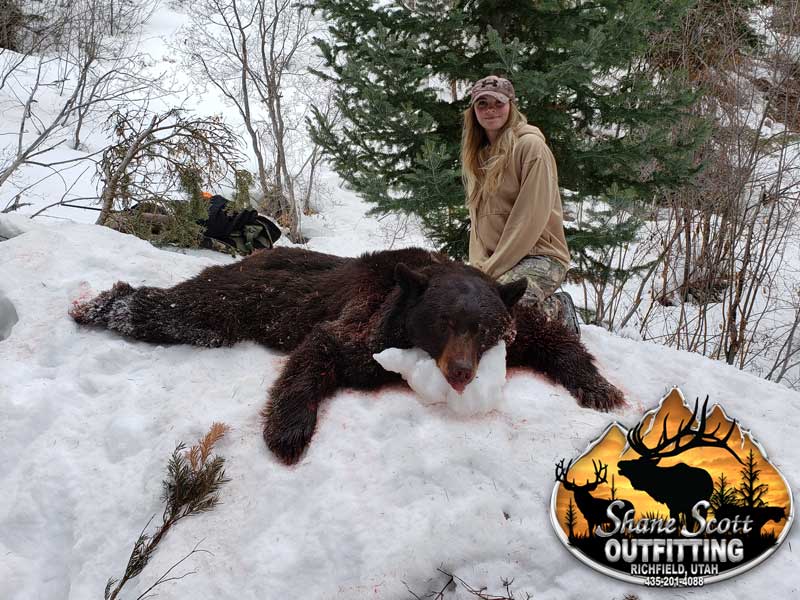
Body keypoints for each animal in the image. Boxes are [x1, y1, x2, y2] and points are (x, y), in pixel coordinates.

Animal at [71, 246, 625, 464]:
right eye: (443, 322)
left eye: (483, 327)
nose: (462, 372)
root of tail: (256, 252)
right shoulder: (371, 324)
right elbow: (323, 347)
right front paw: (288, 432)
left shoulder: (514, 323)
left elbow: (553, 339)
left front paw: (602, 389)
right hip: (240, 297)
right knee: (181, 310)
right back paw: (97, 305)